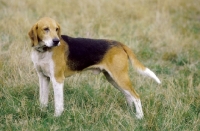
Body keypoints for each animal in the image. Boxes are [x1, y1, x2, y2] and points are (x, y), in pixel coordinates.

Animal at [28, 17, 160, 118]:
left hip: (120, 78)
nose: (56, 41)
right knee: (129, 95)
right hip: (113, 79)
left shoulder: (57, 79)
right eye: (46, 29)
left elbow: (58, 103)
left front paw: (57, 117)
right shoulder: (43, 77)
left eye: (56, 29)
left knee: (136, 96)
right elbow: (43, 98)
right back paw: (130, 113)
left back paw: (139, 117)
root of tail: (119, 44)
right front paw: (42, 111)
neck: (43, 51)